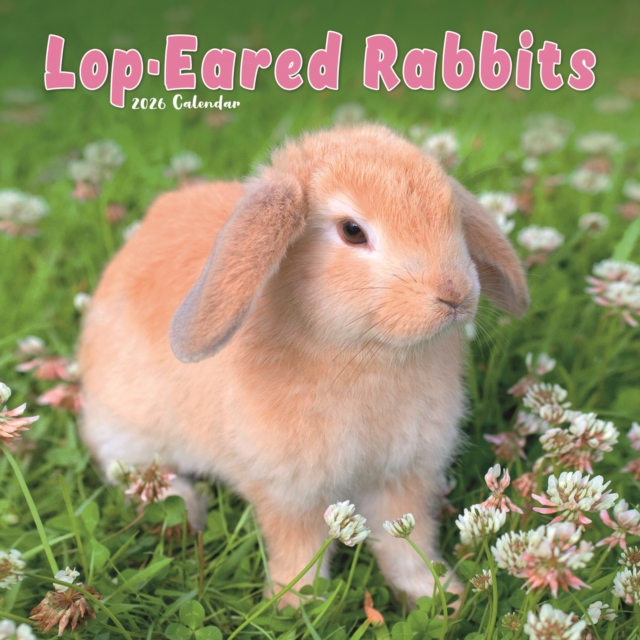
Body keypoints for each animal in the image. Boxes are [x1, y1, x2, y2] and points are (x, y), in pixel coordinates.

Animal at [78, 124, 529, 608]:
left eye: (453, 215)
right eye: (352, 231)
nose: (455, 293)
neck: (368, 352)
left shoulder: (404, 477)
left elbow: (408, 543)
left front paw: (439, 597)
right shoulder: (291, 491)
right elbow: (300, 550)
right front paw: (292, 605)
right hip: (128, 429)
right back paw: (185, 511)